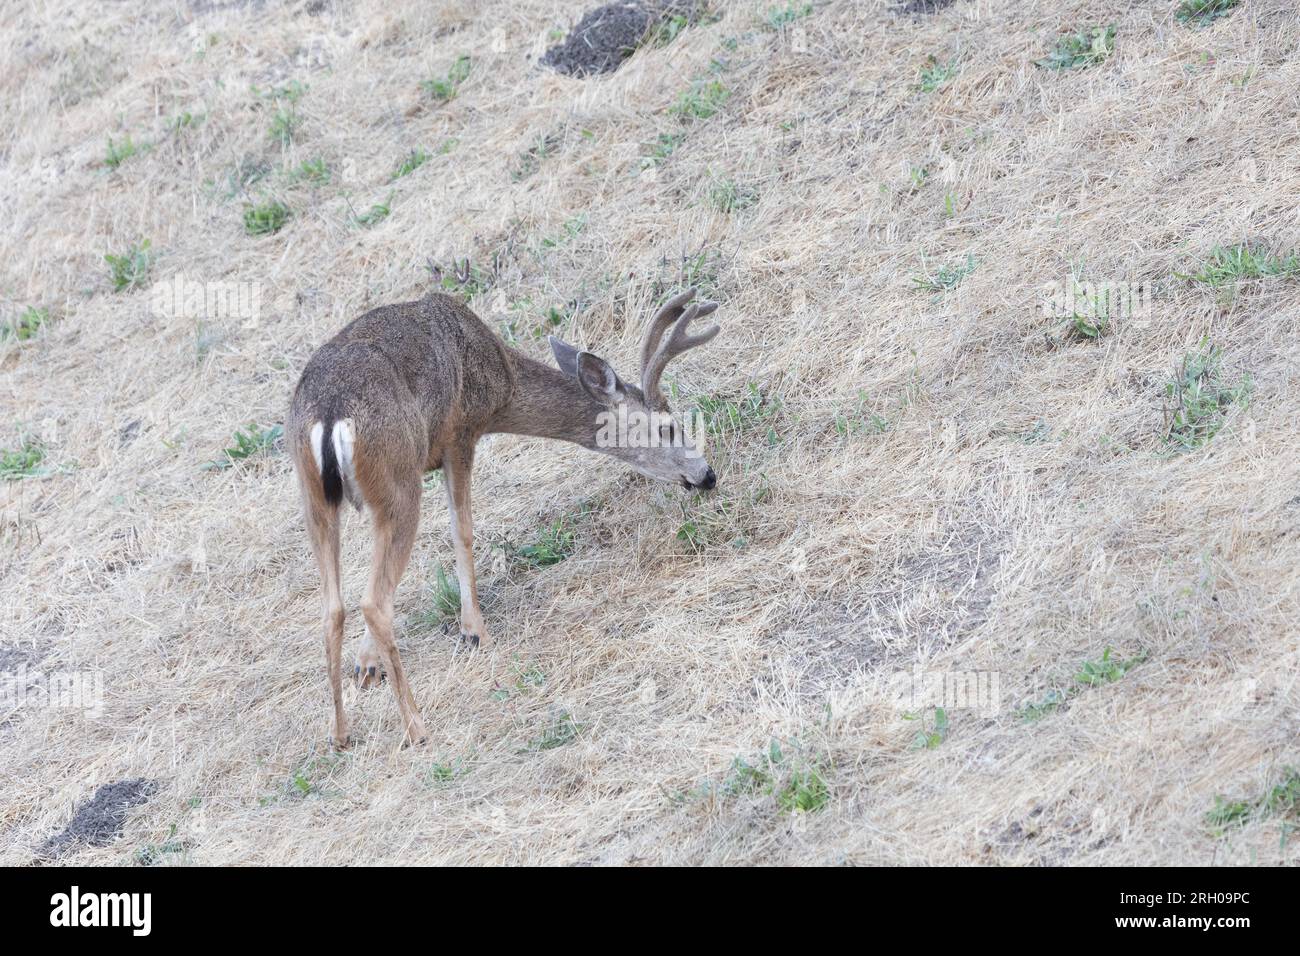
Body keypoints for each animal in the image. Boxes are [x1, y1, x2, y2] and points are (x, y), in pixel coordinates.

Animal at [287, 287, 720, 748]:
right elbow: (462, 532)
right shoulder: (459, 435)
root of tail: (330, 415)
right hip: (397, 480)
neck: (503, 383)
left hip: (315, 498)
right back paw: (417, 727)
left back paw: (339, 734)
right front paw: (474, 631)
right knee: (373, 601)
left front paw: (367, 664)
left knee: (333, 608)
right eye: (667, 428)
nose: (706, 475)